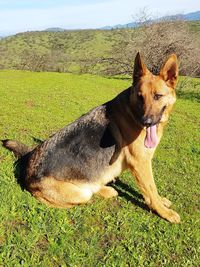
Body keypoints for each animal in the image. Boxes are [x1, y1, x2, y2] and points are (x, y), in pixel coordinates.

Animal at [1, 52, 180, 224]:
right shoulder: (140, 163)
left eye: (157, 96)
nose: (146, 122)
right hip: (80, 194)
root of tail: (28, 163)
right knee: (84, 193)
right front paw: (164, 212)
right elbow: (151, 190)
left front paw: (162, 202)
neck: (132, 110)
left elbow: (153, 191)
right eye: (140, 96)